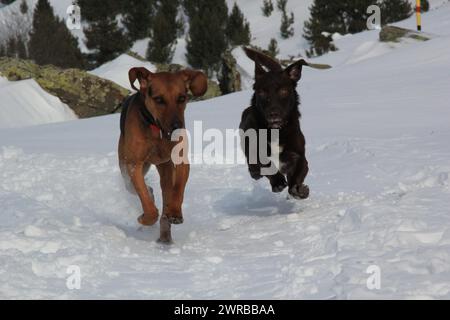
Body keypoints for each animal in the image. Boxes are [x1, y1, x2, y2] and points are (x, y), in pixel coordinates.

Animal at [117, 67, 207, 242]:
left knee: (166, 191)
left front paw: (175, 213)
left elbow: (178, 187)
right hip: (125, 168)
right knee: (135, 187)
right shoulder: (134, 165)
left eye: (182, 98)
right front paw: (145, 217)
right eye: (159, 99)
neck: (157, 130)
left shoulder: (180, 160)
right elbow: (144, 196)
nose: (177, 126)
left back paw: (165, 235)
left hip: (165, 168)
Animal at [241, 47, 312, 200]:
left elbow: (297, 176)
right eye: (262, 92)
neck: (275, 130)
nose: (273, 114)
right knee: (254, 170)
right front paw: (278, 182)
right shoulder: (257, 153)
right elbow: (267, 164)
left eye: (284, 91)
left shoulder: (299, 157)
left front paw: (299, 190)